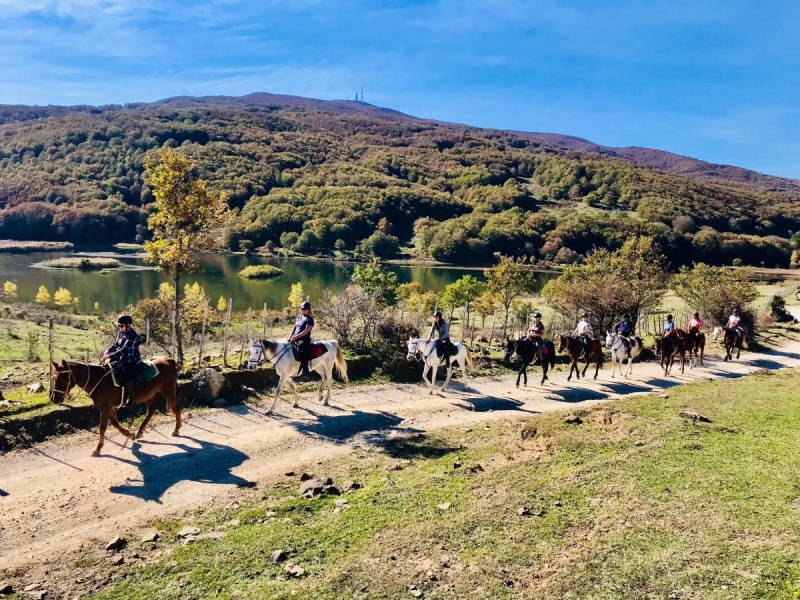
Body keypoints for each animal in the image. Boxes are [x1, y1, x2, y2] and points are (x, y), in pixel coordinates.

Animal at [50, 358, 181, 458]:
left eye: (62, 378)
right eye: (54, 378)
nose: (54, 398)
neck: (97, 380)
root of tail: (168, 361)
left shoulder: (105, 408)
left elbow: (102, 428)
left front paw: (98, 449)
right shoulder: (110, 408)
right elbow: (115, 424)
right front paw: (129, 434)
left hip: (168, 390)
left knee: (176, 407)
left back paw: (176, 429)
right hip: (150, 394)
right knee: (152, 410)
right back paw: (139, 431)